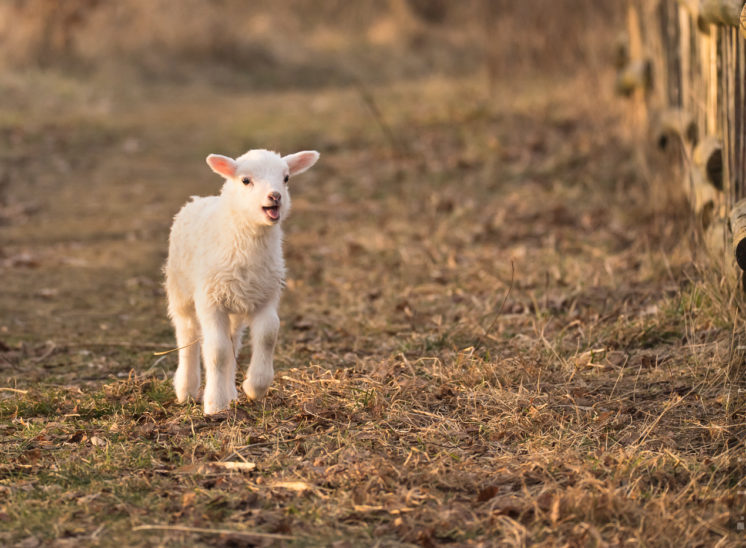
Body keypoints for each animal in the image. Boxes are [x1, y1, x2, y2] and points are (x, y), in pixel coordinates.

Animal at [164, 148, 318, 414]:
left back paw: (231, 393)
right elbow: (217, 351)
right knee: (187, 334)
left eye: (286, 177)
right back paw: (186, 389)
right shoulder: (210, 300)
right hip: (180, 290)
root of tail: (198, 199)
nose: (275, 196)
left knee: (233, 341)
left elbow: (267, 336)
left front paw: (255, 387)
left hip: (235, 304)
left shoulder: (266, 296)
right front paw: (214, 405)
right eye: (246, 180)